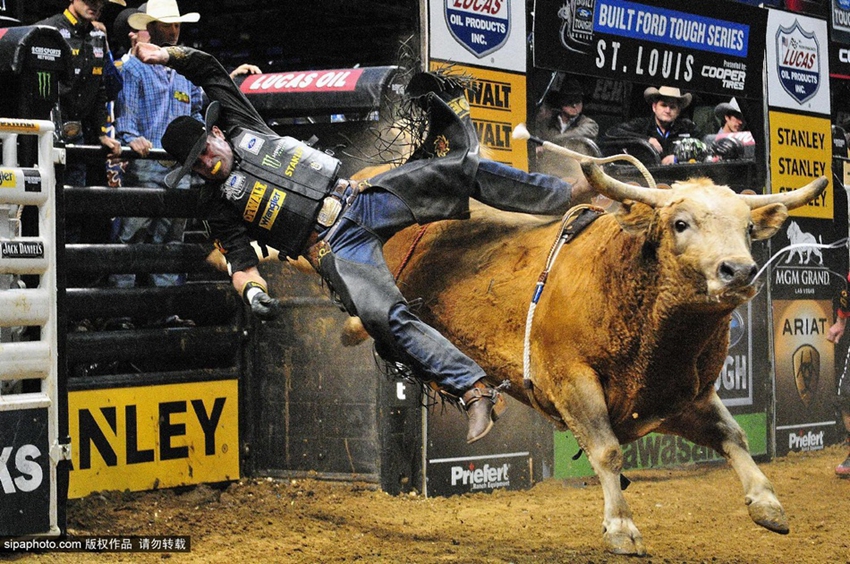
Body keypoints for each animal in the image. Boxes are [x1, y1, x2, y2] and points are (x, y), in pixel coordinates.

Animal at [374, 165, 824, 556]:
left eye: (748, 228)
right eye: (680, 223)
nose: (740, 271)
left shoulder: (678, 397)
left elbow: (733, 435)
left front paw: (766, 502)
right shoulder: (572, 380)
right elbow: (607, 451)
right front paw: (621, 527)